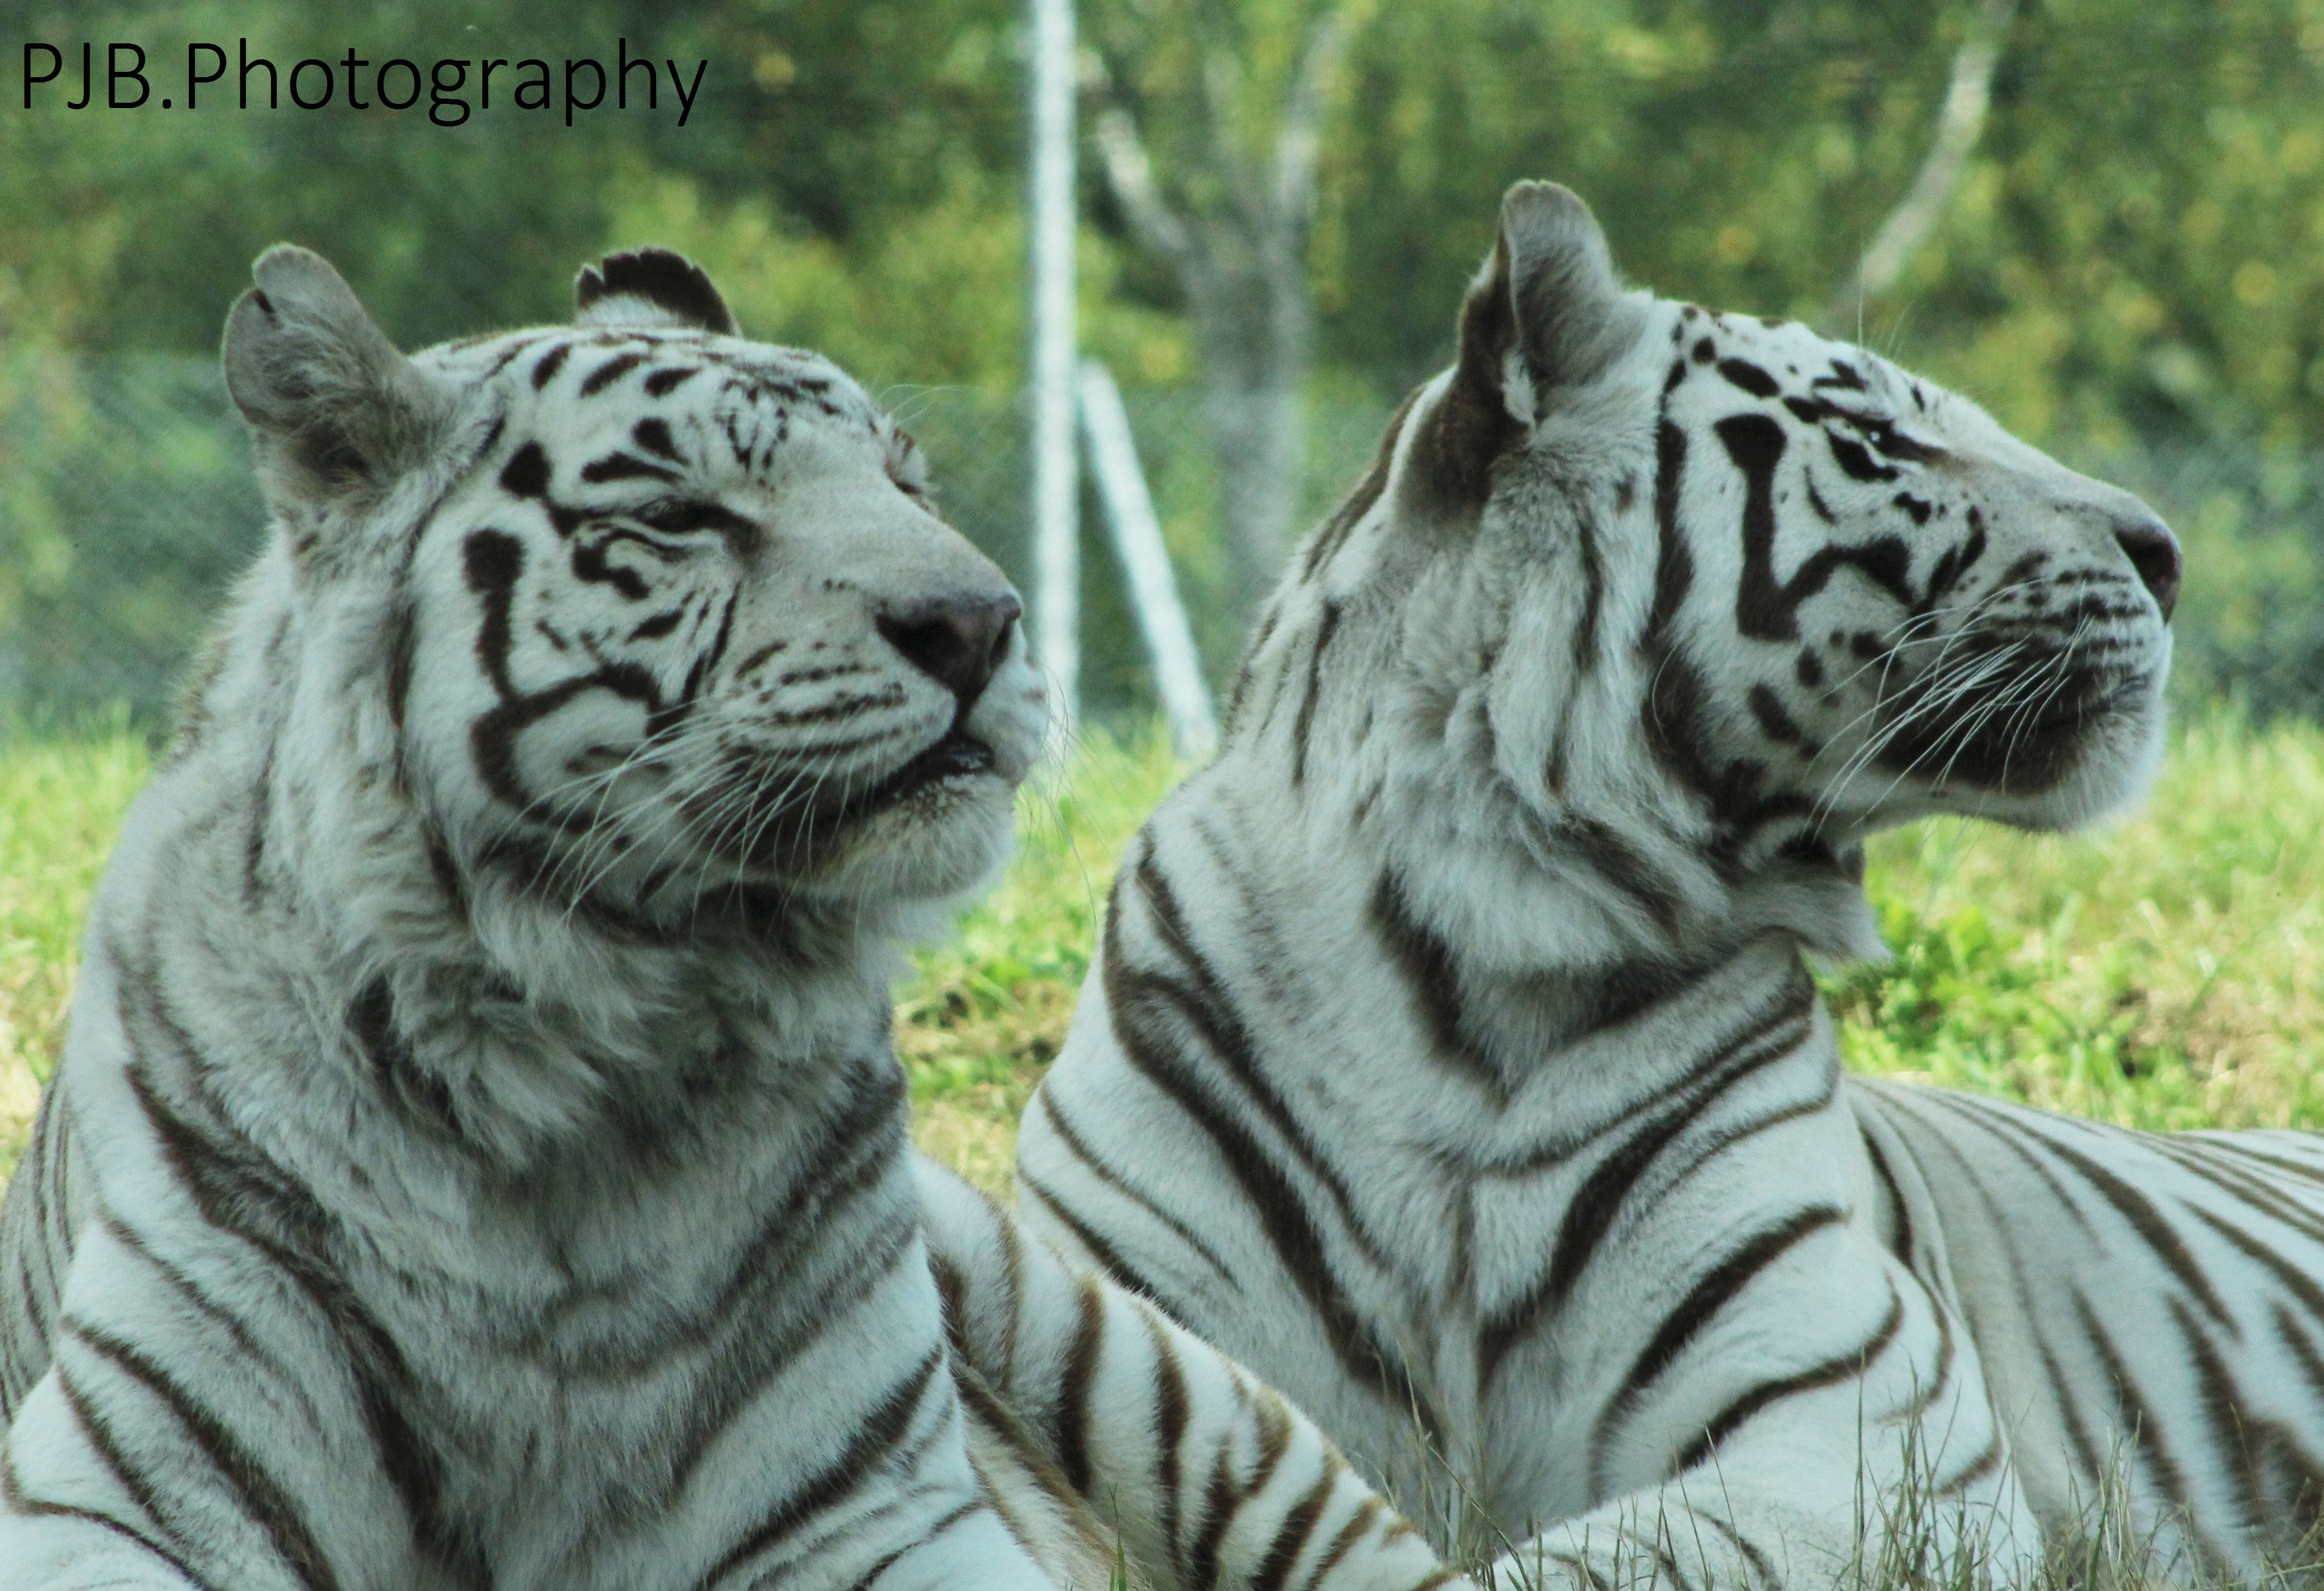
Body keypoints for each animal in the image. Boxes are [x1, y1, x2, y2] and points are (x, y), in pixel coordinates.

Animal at [0, 243, 1473, 1591]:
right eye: (682, 513)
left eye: (905, 481)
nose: (980, 620)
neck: (581, 1064)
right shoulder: (126, 1489)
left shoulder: (878, 1511)